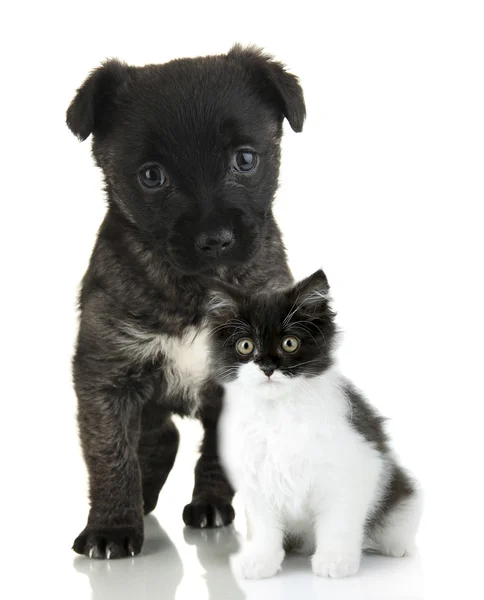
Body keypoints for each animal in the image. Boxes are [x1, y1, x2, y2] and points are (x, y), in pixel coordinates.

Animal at [66, 45, 304, 556]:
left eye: (245, 159)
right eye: (151, 176)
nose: (215, 239)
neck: (200, 287)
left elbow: (218, 453)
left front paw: (212, 504)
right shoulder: (106, 377)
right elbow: (111, 455)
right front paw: (112, 528)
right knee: (160, 438)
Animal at [210, 270, 422, 576]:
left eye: (289, 343)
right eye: (245, 345)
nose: (267, 367)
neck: (279, 411)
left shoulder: (357, 466)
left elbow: (339, 521)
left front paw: (335, 560)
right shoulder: (255, 477)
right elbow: (263, 526)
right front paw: (261, 560)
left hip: (402, 493)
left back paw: (397, 547)